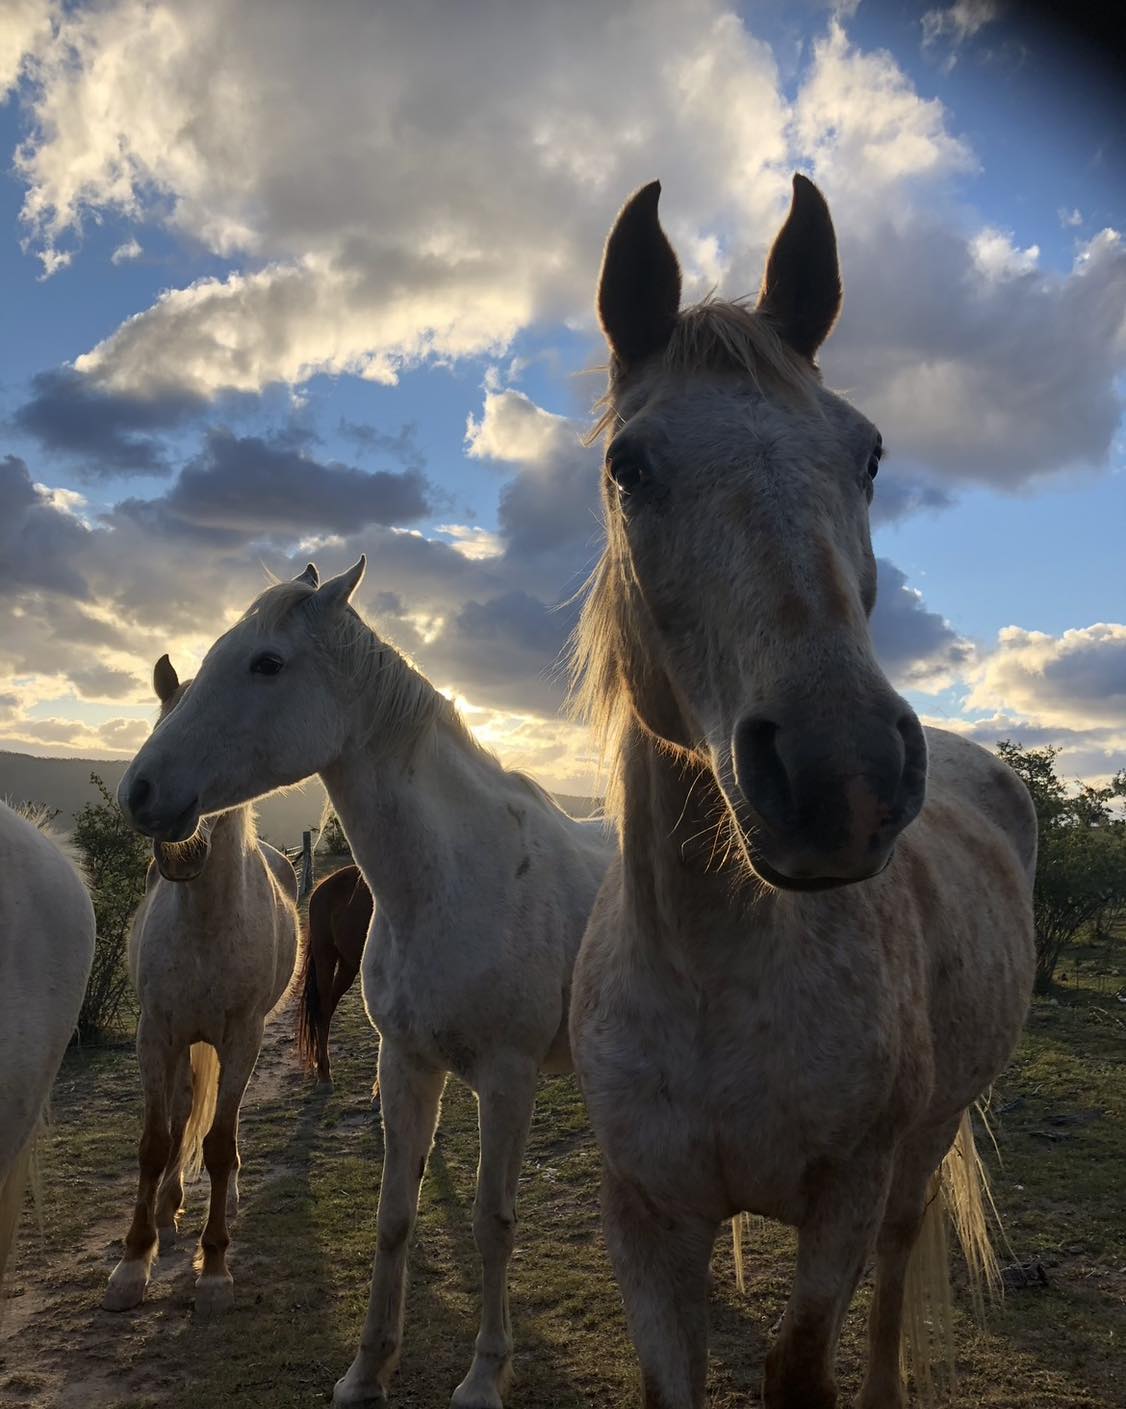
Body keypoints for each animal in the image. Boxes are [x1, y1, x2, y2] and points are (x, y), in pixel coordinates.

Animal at [103, 654, 299, 1317]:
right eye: (159, 728)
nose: (174, 835)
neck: (206, 924)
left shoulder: (241, 1038)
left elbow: (217, 1144)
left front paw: (213, 1269)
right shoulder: (156, 1033)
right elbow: (155, 1141)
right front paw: (133, 1262)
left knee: (218, 1129)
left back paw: (224, 1198)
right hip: (184, 1040)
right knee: (185, 1109)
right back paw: (166, 1210)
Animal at [568, 176, 1037, 1409]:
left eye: (866, 453)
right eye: (629, 465)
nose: (844, 777)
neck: (713, 973)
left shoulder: (844, 1195)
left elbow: (804, 1361)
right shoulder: (643, 1216)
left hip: (926, 1140)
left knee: (902, 1262)